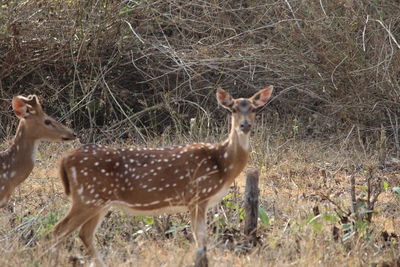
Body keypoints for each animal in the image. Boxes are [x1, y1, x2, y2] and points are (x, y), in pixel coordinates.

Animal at [52, 87, 272, 266]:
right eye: (233, 109)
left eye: (254, 109)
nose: (245, 126)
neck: (222, 163)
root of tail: (65, 159)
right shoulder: (197, 196)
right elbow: (201, 243)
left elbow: (201, 242)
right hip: (87, 196)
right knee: (58, 230)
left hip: (99, 200)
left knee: (84, 234)